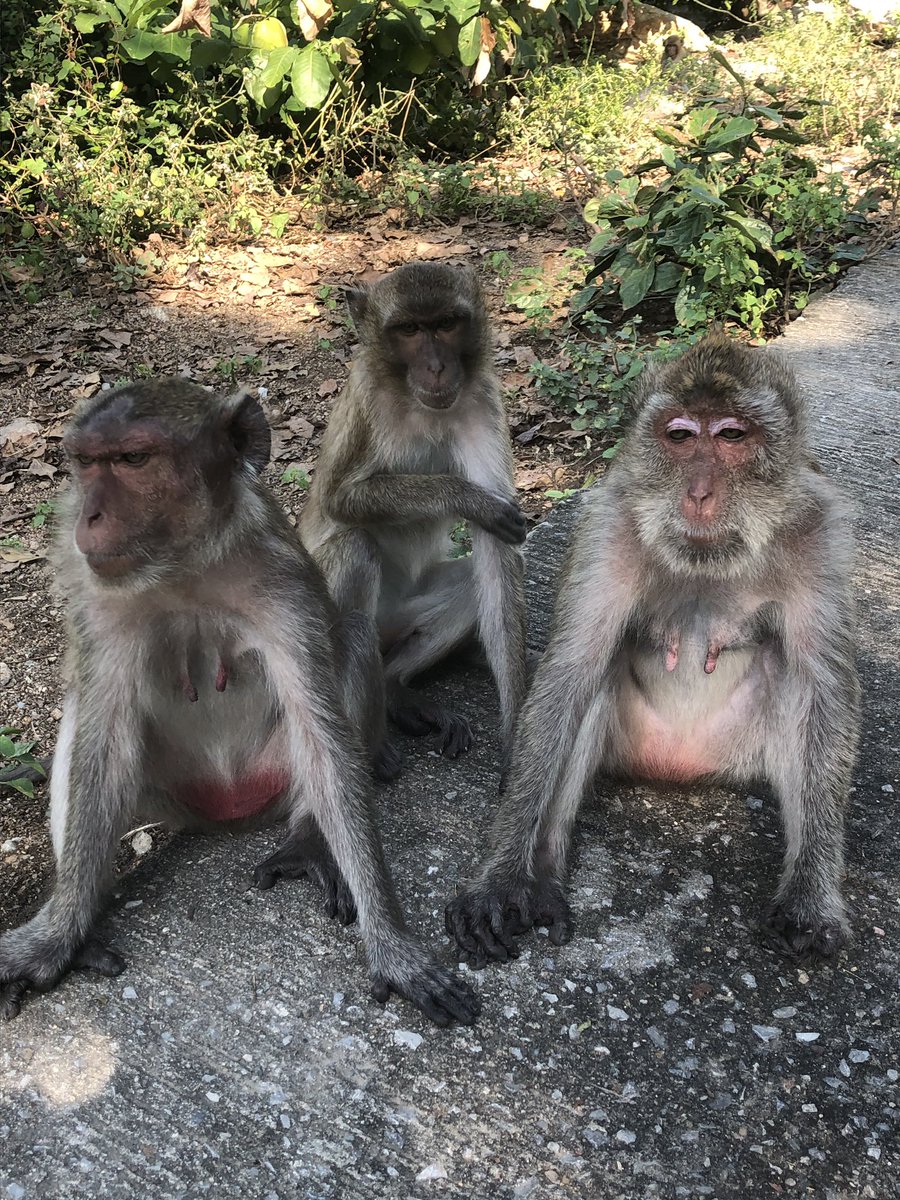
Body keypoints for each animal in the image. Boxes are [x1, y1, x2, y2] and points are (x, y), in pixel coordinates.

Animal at [0, 379, 479, 1027]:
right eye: (84, 463)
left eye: (132, 459)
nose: (88, 515)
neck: (184, 567)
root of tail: (227, 811)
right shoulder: (97, 599)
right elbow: (99, 739)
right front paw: (55, 937)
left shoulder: (283, 583)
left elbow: (322, 733)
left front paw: (391, 944)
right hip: (169, 795)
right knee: (83, 720)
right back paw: (87, 916)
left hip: (273, 775)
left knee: (351, 640)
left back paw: (308, 839)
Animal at [300, 262, 528, 761]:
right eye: (408, 330)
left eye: (445, 324)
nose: (437, 367)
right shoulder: (367, 400)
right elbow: (338, 499)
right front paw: (467, 497)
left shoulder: (482, 399)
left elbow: (497, 553)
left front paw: (517, 733)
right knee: (354, 547)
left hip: (402, 616)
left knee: (470, 581)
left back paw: (395, 687)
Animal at [446, 334, 860, 967]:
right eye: (681, 436)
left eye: (732, 435)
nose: (698, 493)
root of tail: (678, 767)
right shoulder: (607, 523)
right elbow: (568, 673)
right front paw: (499, 879)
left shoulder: (822, 534)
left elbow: (825, 688)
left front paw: (812, 898)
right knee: (594, 672)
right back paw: (543, 880)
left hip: (740, 749)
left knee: (794, 681)